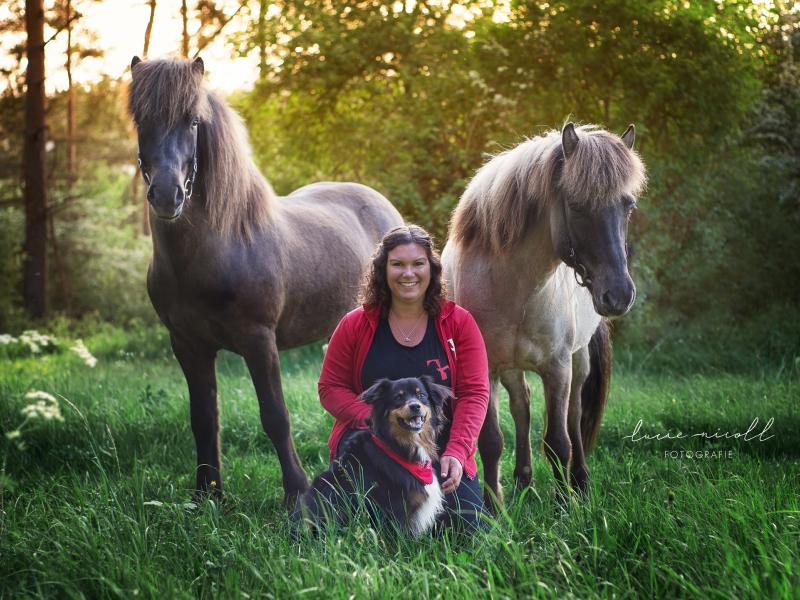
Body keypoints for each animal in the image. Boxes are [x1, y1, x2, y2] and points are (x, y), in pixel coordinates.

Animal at [128, 56, 404, 504]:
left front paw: (297, 495)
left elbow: (275, 416)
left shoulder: (259, 341)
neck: (219, 249)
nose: (168, 195)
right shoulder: (188, 344)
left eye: (192, 121)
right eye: (141, 119)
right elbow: (203, 418)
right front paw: (208, 494)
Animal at [440, 124, 648, 504]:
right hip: (512, 367)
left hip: (578, 361)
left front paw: (567, 504)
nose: (619, 295)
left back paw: (580, 480)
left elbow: (558, 441)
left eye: (628, 206)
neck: (513, 289)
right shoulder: (486, 368)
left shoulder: (557, 367)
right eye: (577, 206)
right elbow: (492, 441)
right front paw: (494, 507)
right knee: (522, 407)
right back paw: (524, 482)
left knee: (574, 414)